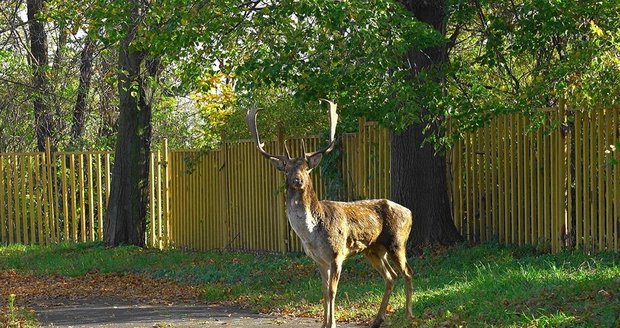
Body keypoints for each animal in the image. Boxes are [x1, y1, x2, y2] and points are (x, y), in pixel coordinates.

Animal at [245, 100, 414, 328]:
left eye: (306, 168)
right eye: (286, 169)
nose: (297, 180)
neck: (311, 233)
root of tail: (410, 212)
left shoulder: (336, 254)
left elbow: (333, 291)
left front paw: (332, 323)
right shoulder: (318, 259)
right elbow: (324, 292)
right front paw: (324, 323)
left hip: (397, 242)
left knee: (407, 272)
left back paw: (408, 315)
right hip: (374, 249)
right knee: (391, 276)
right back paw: (377, 319)